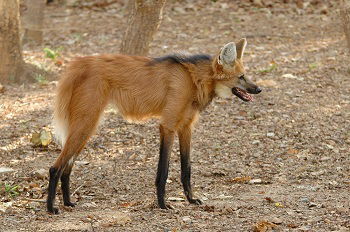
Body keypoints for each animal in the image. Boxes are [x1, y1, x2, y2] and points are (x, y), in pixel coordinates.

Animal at [47, 38, 260, 214]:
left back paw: (68, 202)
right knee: (55, 167)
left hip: (88, 127)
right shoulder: (168, 125)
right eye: (241, 76)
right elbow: (163, 170)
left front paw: (191, 200)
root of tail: (79, 63)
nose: (259, 89)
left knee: (67, 166)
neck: (194, 80)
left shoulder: (186, 127)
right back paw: (51, 208)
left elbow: (187, 168)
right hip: (86, 123)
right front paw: (163, 204)